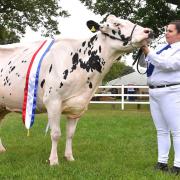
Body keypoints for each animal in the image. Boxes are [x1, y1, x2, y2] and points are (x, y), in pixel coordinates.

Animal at [0, 14, 152, 165]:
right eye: (117, 24)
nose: (148, 31)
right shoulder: (53, 101)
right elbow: (56, 134)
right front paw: (53, 161)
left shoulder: (77, 106)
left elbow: (70, 134)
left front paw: (69, 157)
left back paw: (1, 149)